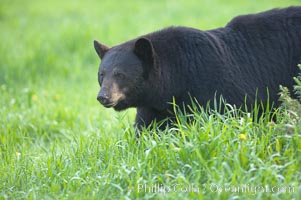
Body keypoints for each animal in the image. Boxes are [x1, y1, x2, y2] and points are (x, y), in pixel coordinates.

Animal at [94, 6, 300, 130]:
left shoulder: (216, 90)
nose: (103, 96)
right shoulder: (154, 107)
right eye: (101, 75)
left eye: (120, 74)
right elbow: (147, 131)